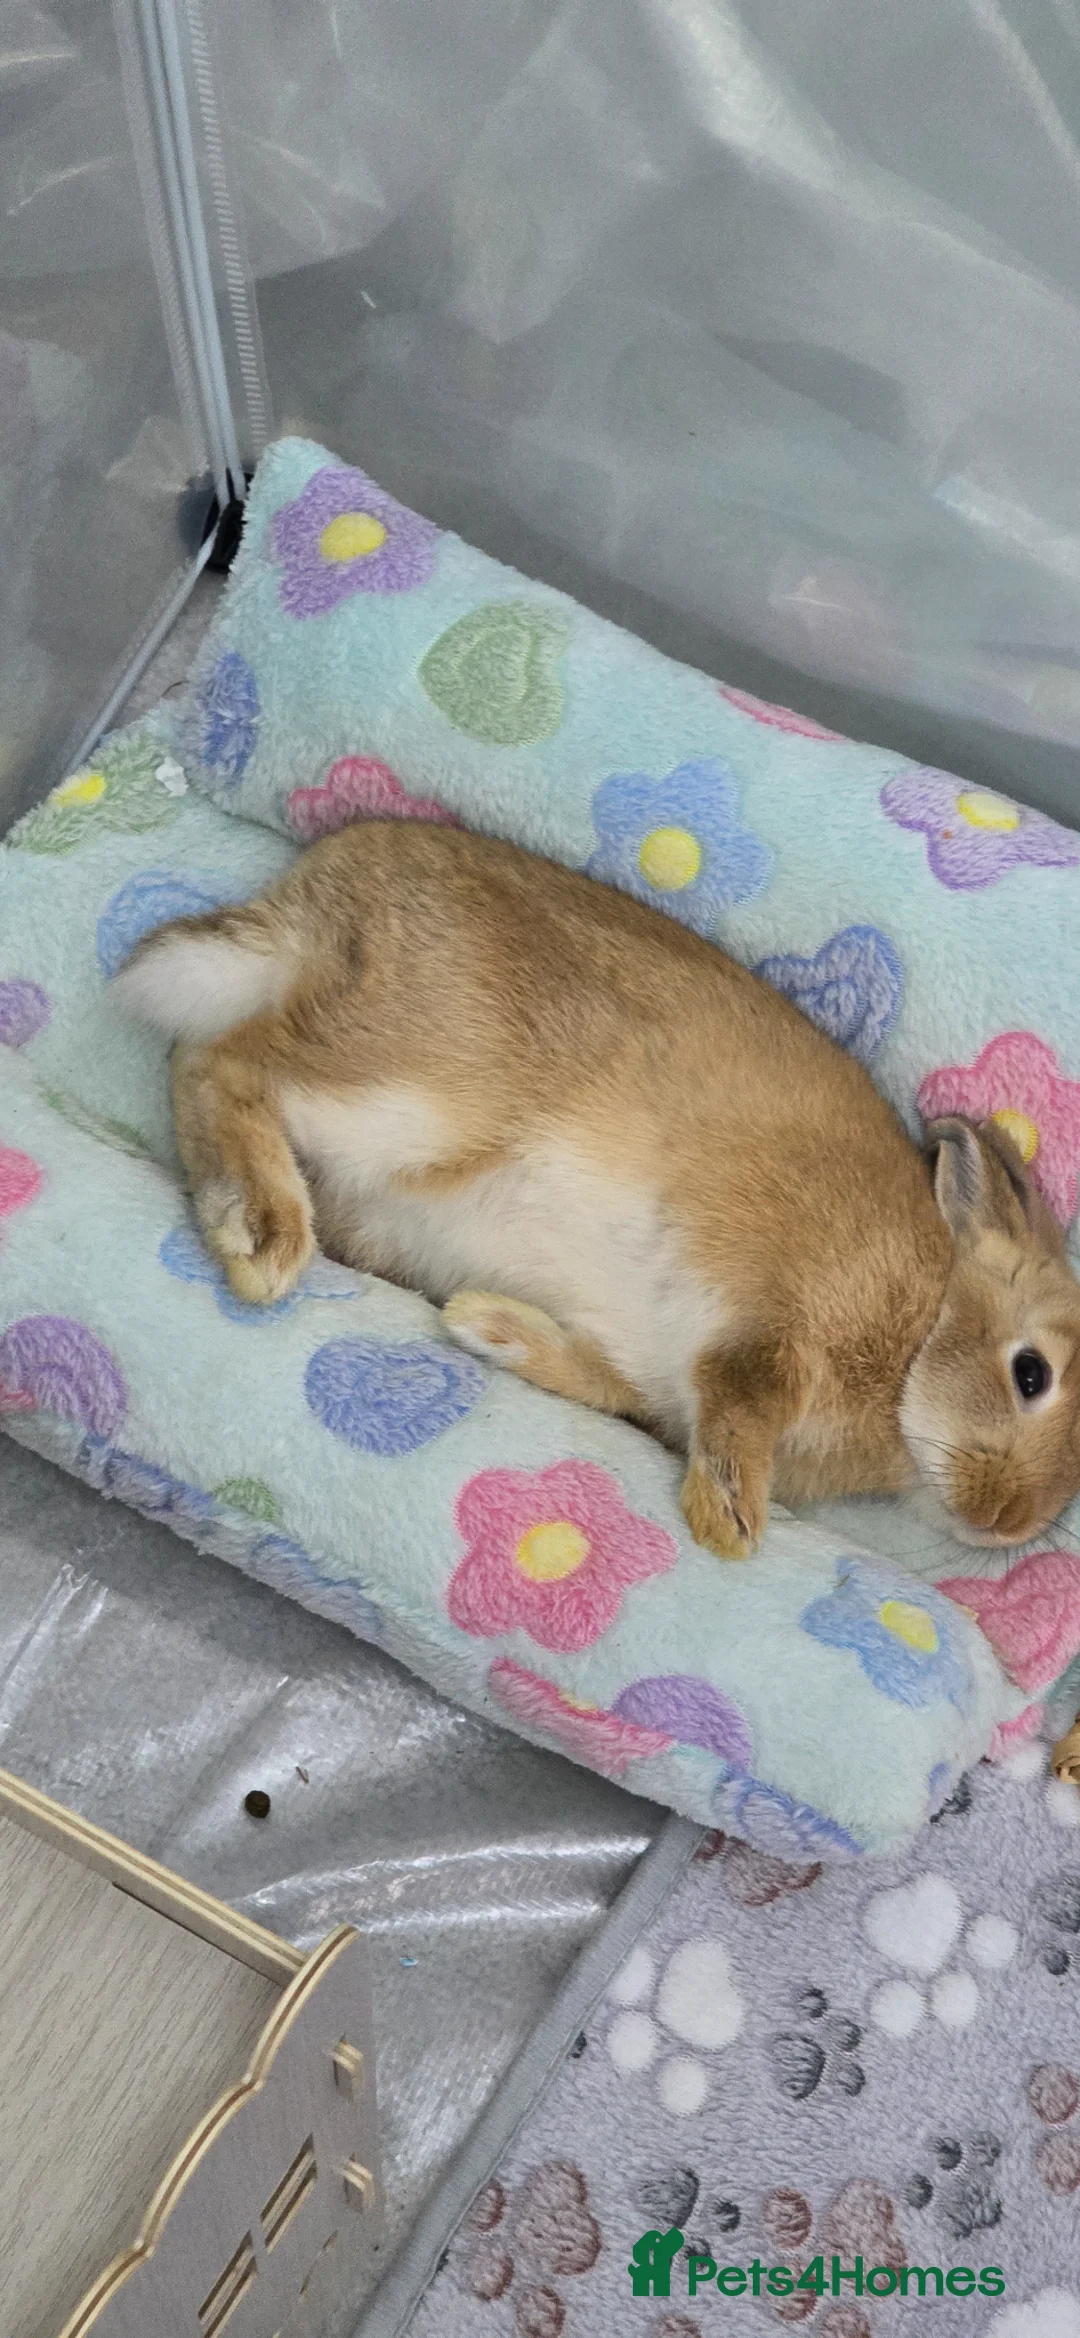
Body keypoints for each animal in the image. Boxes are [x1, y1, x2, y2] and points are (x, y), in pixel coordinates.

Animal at [113, 817, 1080, 1560]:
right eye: (1030, 1373)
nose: (1008, 1524)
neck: (922, 1327)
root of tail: (313, 896)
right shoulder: (784, 1322)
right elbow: (748, 1393)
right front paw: (731, 1522)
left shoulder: (644, 1376)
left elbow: (604, 1379)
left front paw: (486, 1328)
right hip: (418, 1100)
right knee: (219, 1061)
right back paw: (260, 1235)